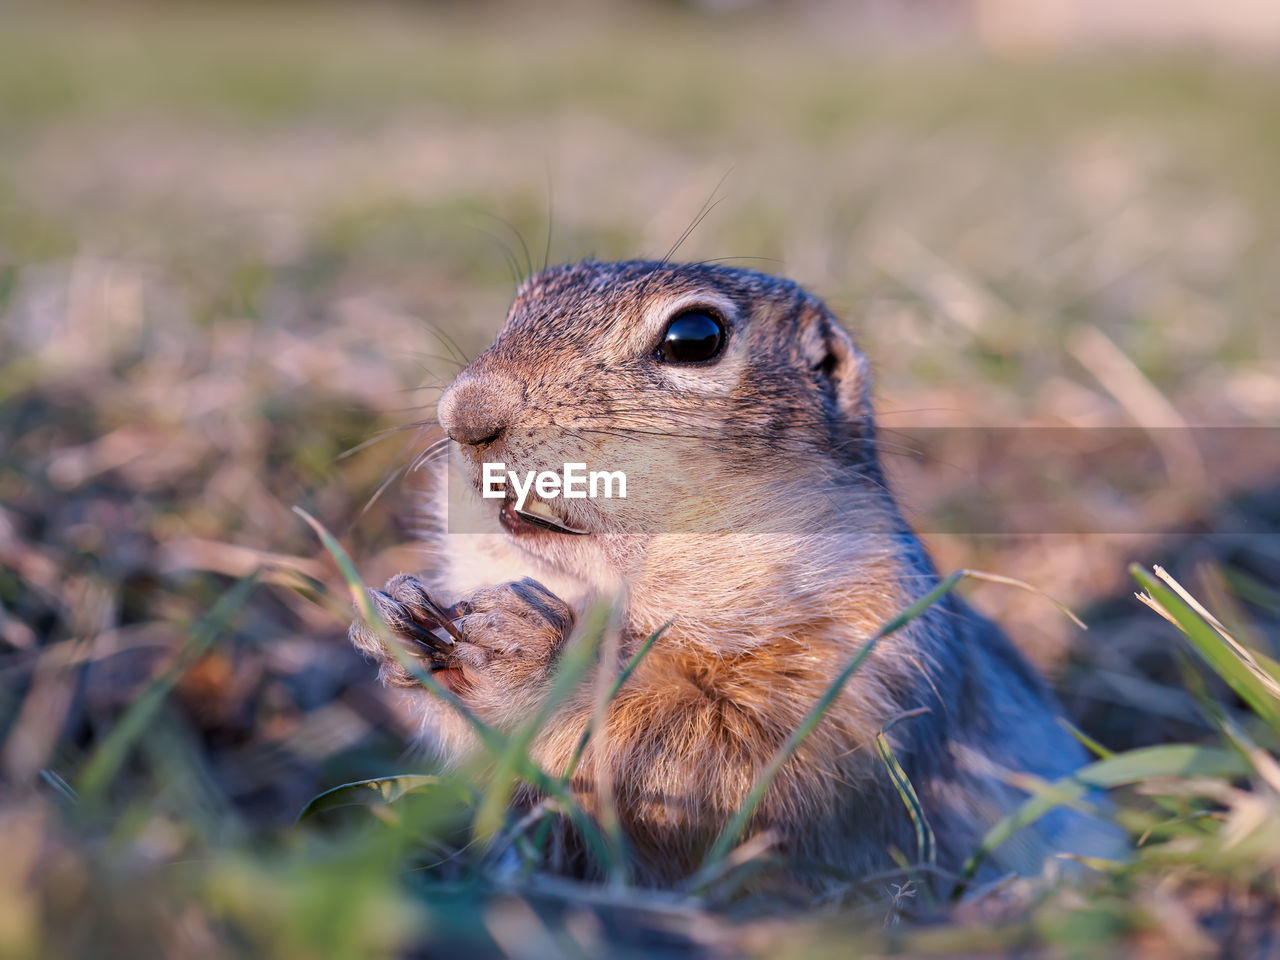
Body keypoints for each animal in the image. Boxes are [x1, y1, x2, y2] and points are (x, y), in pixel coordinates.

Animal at [348, 259, 1111, 890]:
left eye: (695, 336)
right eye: (521, 301)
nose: (462, 413)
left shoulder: (867, 657)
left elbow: (735, 762)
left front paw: (532, 659)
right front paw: (399, 622)